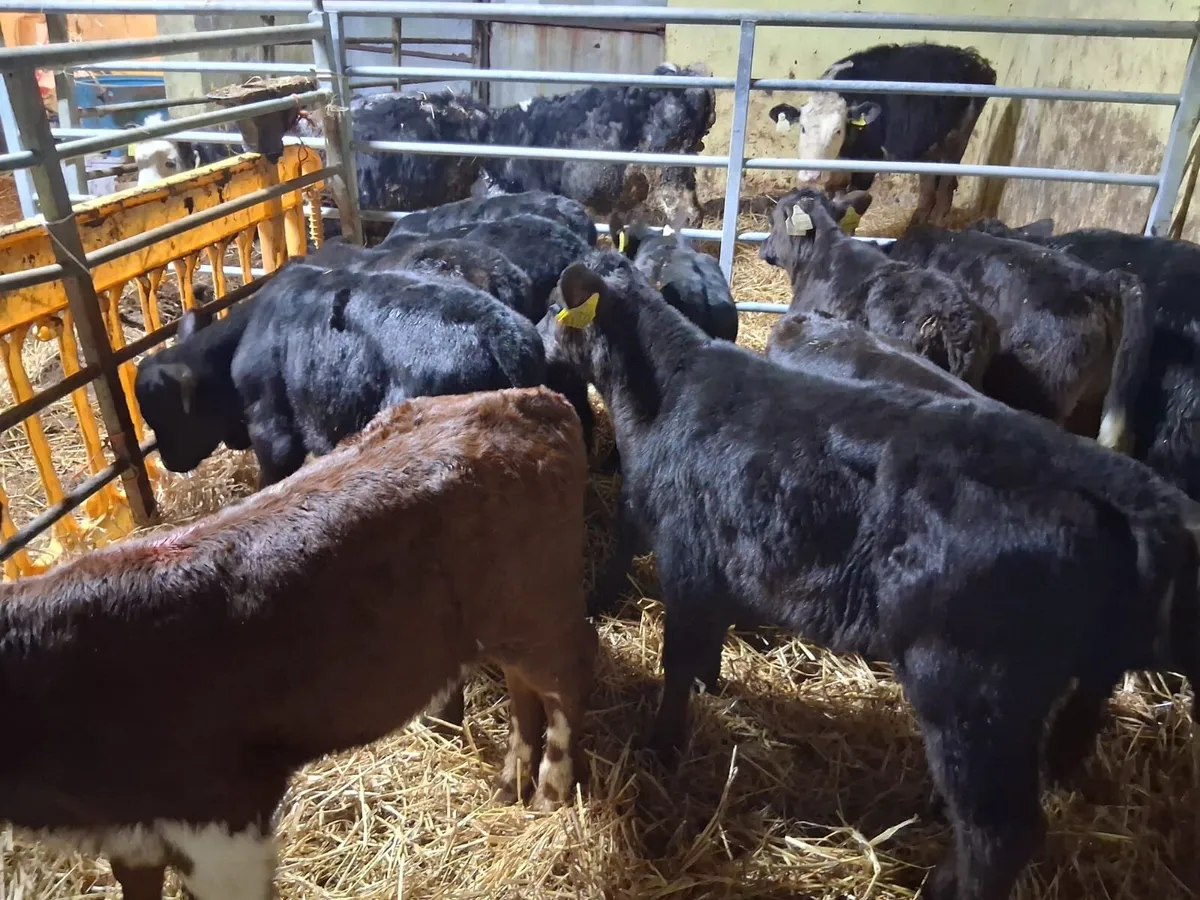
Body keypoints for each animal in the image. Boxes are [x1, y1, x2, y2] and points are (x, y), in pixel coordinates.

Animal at [768, 43, 997, 227]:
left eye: (837, 130)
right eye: (803, 127)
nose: (811, 174)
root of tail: (974, 60)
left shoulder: (868, 164)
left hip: (957, 141)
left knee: (945, 186)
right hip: (929, 146)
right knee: (929, 185)